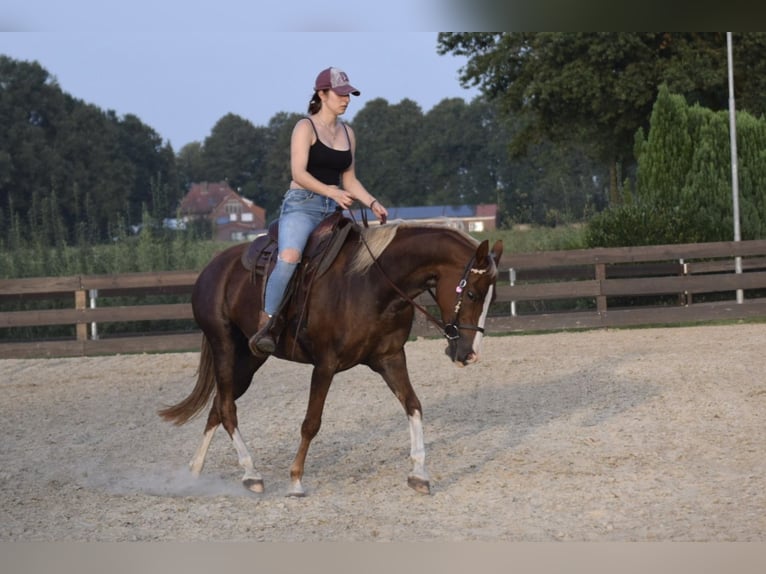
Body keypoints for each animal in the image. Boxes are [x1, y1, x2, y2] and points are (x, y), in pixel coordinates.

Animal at [159, 220, 504, 500]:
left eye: (493, 297)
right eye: (472, 294)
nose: (470, 354)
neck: (370, 283)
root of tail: (212, 269)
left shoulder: (390, 358)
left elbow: (413, 406)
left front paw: (419, 474)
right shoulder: (325, 365)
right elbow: (311, 423)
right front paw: (296, 481)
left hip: (250, 358)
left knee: (219, 405)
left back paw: (195, 472)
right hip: (225, 347)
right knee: (227, 409)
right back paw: (251, 474)